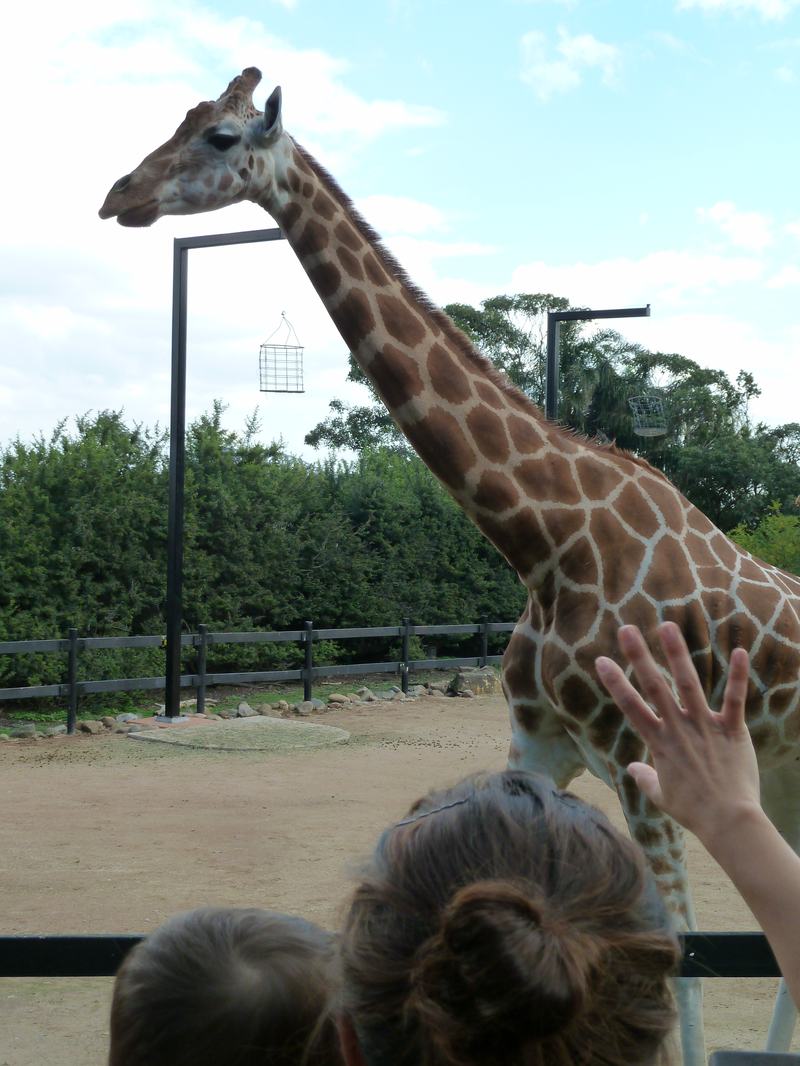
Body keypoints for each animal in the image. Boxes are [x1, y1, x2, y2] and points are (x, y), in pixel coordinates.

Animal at [100, 68, 800, 1062]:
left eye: (222, 136)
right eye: (182, 119)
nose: (119, 194)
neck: (548, 541)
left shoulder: (645, 760)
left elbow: (683, 961)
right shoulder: (539, 744)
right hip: (780, 764)